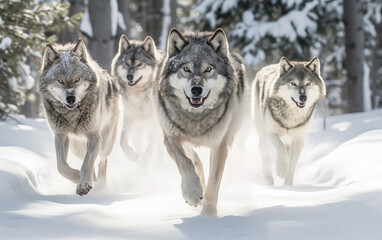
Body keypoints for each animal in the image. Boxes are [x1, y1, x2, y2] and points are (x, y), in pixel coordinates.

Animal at [38, 38, 119, 196]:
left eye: (77, 79)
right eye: (60, 81)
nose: (71, 98)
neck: (72, 115)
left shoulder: (94, 136)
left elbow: (87, 163)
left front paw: (83, 184)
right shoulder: (60, 135)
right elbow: (61, 166)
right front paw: (78, 177)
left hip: (105, 143)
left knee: (102, 161)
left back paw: (100, 184)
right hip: (77, 148)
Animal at [154, 28, 249, 218]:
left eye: (208, 69)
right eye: (186, 69)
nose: (196, 89)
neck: (196, 117)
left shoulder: (220, 146)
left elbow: (214, 185)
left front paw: (208, 217)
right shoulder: (170, 138)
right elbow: (184, 162)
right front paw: (192, 193)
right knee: (195, 160)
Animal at [252, 56, 326, 186]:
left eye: (308, 83)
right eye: (293, 83)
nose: (303, 97)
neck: (291, 116)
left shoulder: (298, 140)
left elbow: (292, 165)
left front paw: (288, 185)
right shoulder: (271, 133)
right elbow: (280, 149)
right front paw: (281, 170)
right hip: (263, 135)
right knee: (266, 155)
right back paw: (268, 179)